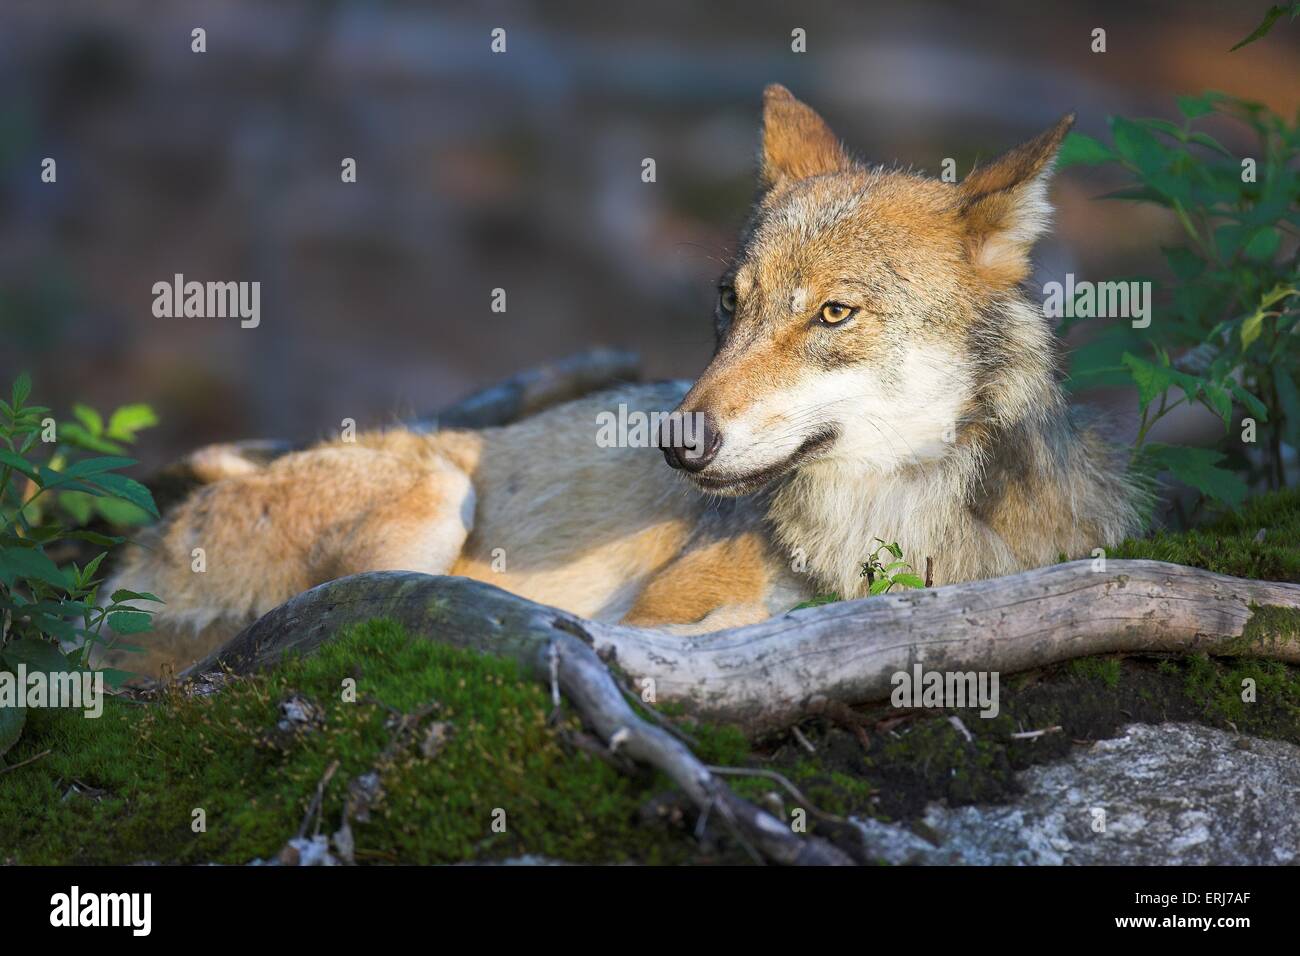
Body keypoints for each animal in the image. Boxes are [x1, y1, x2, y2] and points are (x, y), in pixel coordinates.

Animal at [114, 85, 1149, 676]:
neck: (889, 528)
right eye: (729, 301)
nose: (679, 443)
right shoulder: (662, 611)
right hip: (431, 494)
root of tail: (120, 571)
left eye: (833, 314)